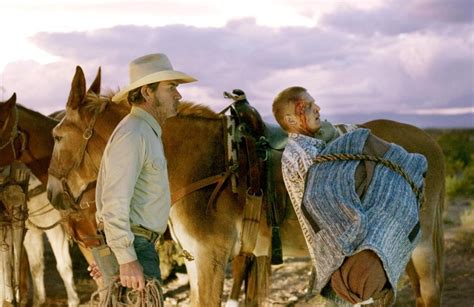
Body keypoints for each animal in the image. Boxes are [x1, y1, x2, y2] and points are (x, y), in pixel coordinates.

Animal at [46, 67, 442, 307]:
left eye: (57, 135)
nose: (52, 195)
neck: (194, 163)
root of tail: (428, 141)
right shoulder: (196, 262)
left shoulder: (210, 258)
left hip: (419, 246)